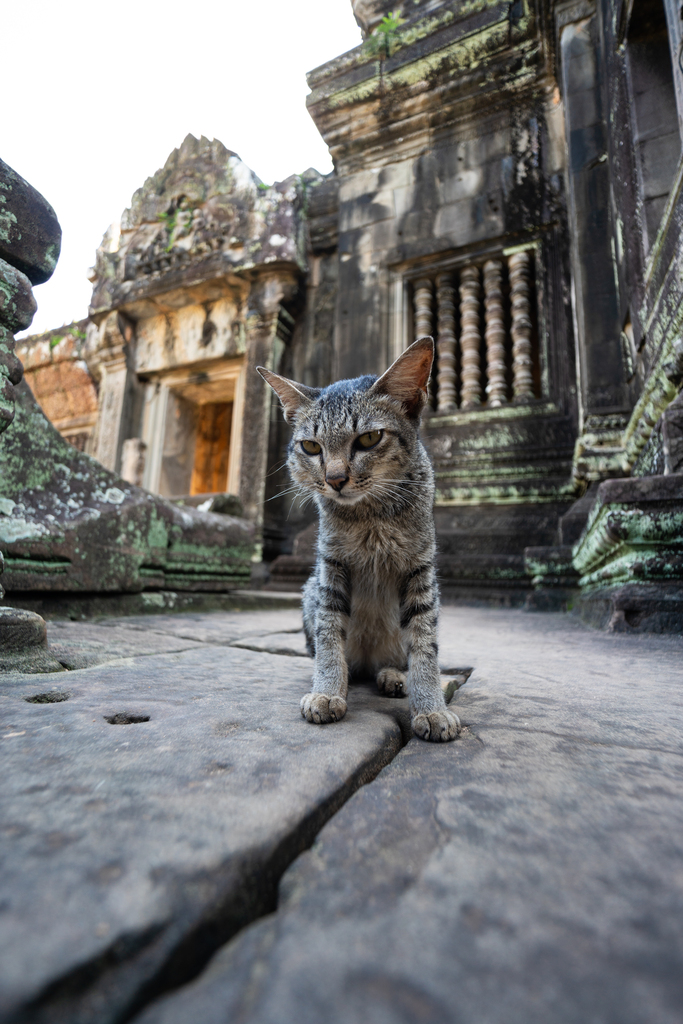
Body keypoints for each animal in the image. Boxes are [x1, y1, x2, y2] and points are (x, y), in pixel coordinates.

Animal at [259, 337, 462, 745]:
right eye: (311, 447)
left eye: (369, 438)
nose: (335, 479)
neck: (371, 518)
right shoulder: (330, 570)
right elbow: (328, 636)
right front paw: (327, 690)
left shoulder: (421, 573)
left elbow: (425, 645)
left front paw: (432, 707)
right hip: (310, 592)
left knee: (397, 657)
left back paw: (394, 675)